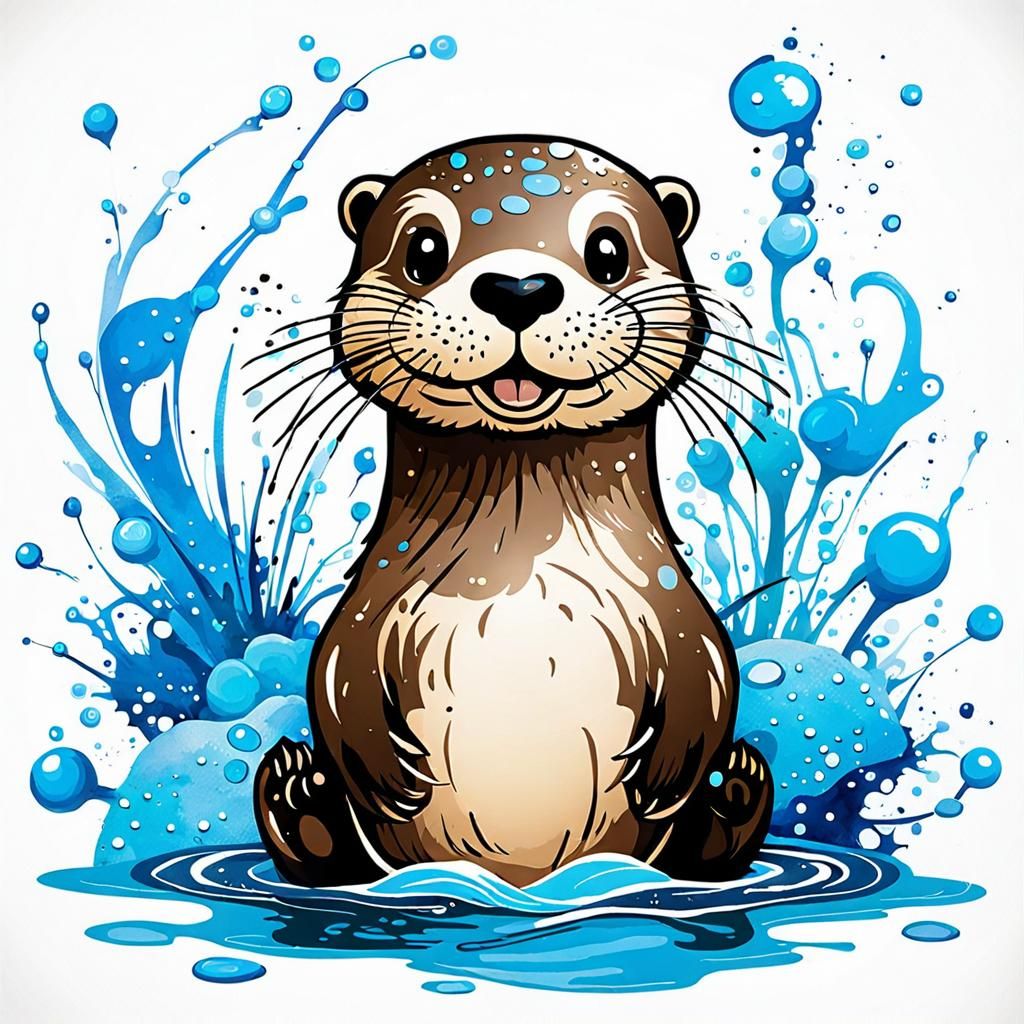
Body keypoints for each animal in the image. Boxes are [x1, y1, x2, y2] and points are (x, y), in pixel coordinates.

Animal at [253, 136, 772, 888]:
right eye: (424, 248)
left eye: (609, 250)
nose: (519, 288)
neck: (522, 568)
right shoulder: (374, 601)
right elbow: (335, 669)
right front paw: (382, 770)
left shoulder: (667, 598)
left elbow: (709, 665)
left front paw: (672, 770)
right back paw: (300, 797)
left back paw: (734, 791)